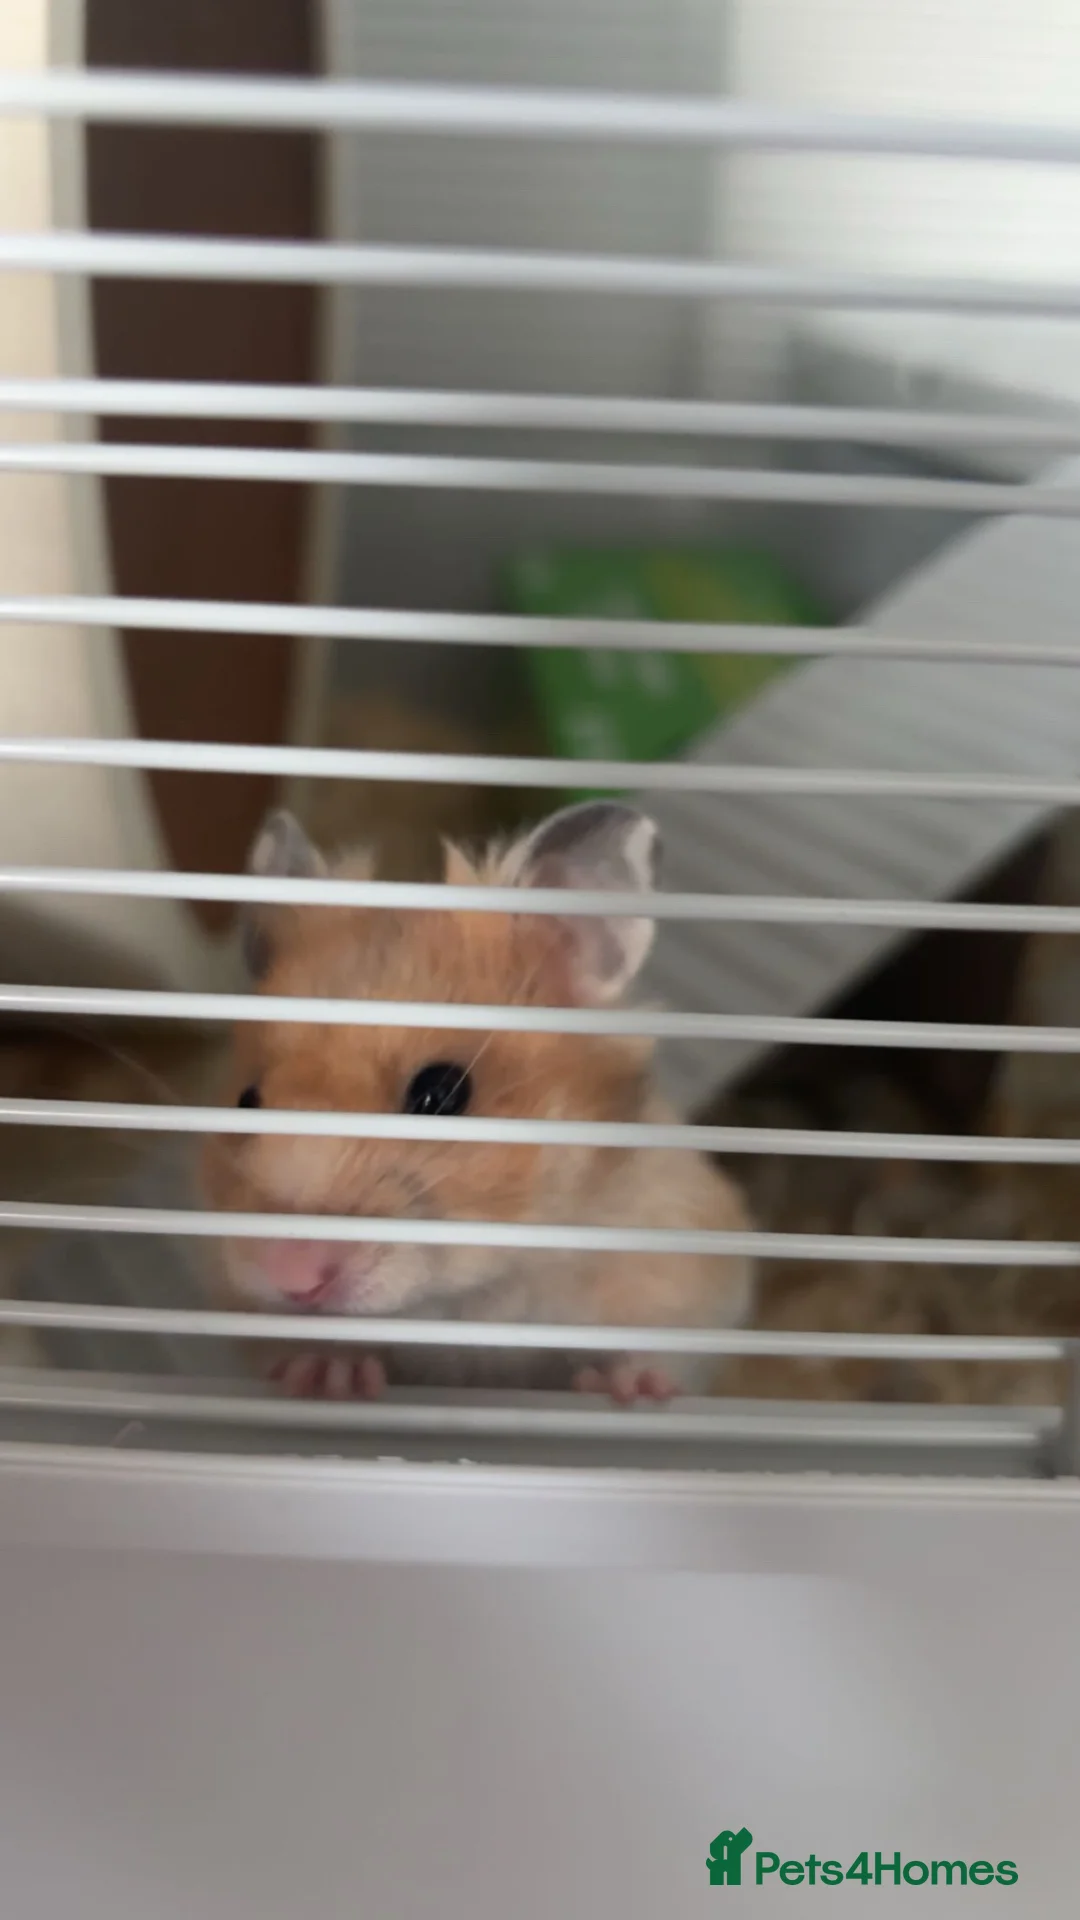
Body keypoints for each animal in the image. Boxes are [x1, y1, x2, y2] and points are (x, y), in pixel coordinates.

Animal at [201, 799, 754, 1403]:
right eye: (246, 1101)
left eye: (441, 1093)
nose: (291, 1277)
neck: (471, 1298)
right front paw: (329, 1378)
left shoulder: (685, 1268)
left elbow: (661, 1350)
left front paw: (628, 1388)